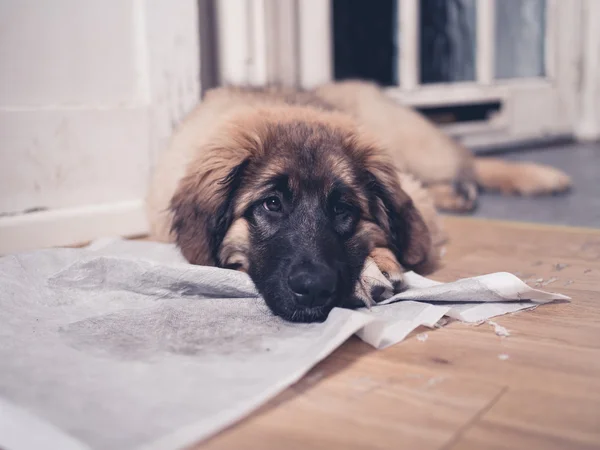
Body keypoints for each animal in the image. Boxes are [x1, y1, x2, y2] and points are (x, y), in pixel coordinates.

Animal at [146, 80, 572, 320]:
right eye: (271, 204)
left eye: (343, 209)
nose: (314, 289)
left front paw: (373, 266)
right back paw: (460, 194)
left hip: (418, 148)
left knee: (468, 161)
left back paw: (538, 176)